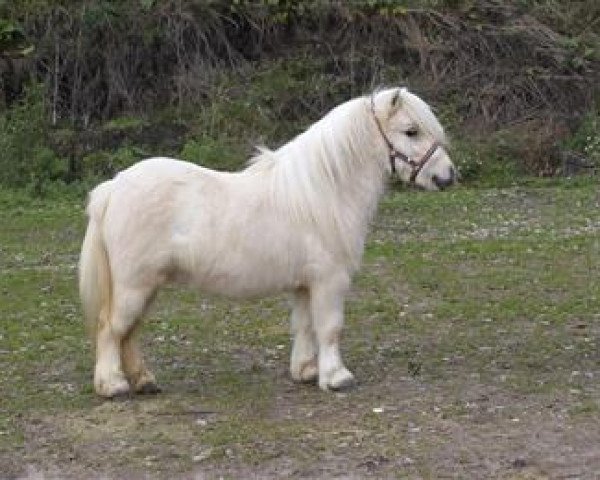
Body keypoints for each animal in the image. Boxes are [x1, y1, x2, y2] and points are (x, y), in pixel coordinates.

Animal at [78, 87, 454, 398]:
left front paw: (306, 371)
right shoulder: (329, 280)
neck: (325, 191)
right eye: (411, 131)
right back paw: (112, 385)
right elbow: (330, 327)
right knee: (110, 328)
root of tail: (112, 188)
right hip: (134, 285)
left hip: (147, 286)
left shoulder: (305, 284)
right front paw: (336, 378)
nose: (447, 177)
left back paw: (144, 380)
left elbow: (305, 325)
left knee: (129, 331)